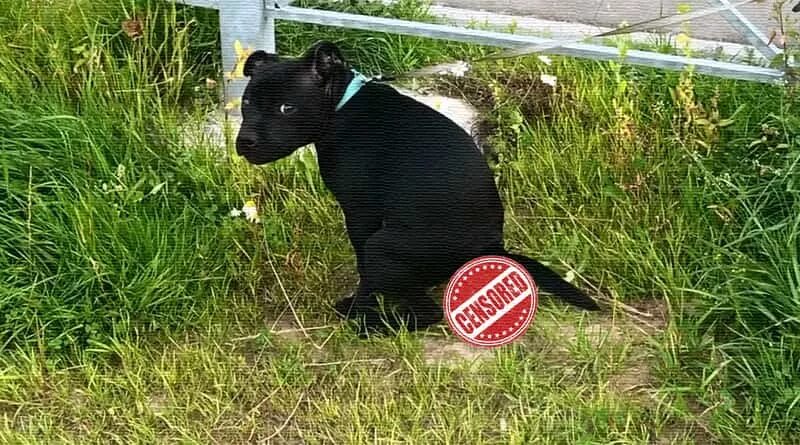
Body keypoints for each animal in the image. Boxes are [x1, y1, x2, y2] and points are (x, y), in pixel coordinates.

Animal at [234, 40, 596, 332]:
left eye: (287, 108)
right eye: (247, 102)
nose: (244, 142)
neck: (341, 106)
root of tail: (492, 249)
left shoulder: (361, 216)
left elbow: (363, 273)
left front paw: (358, 308)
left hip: (383, 245)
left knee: (427, 313)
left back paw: (376, 326)